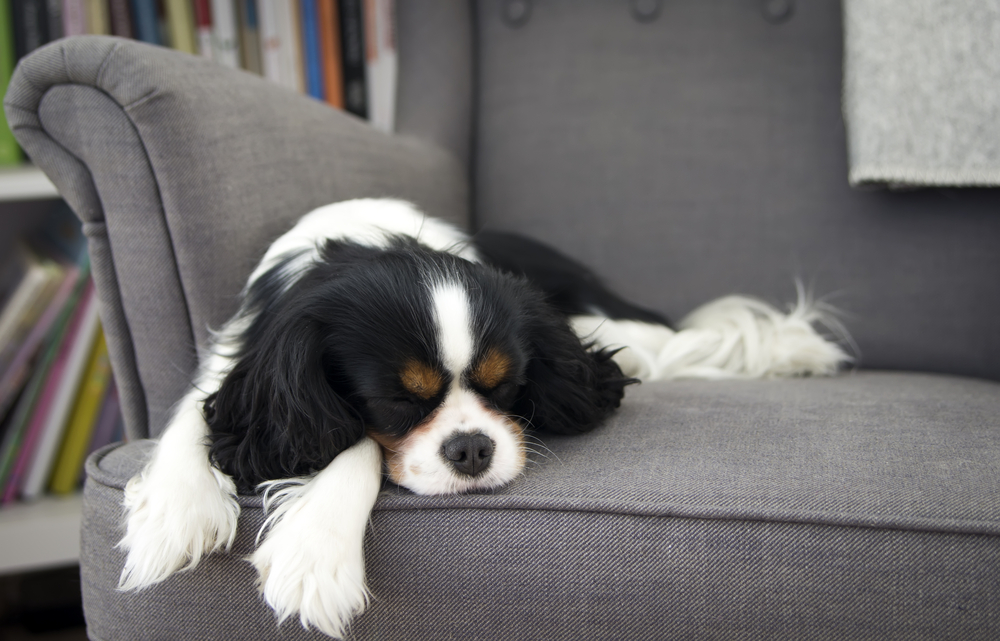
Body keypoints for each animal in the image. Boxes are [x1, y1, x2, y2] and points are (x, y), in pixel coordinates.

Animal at [119, 199, 852, 636]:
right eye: (398, 401)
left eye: (508, 388)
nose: (472, 448)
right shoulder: (243, 363)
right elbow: (195, 415)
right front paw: (177, 509)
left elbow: (357, 449)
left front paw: (317, 552)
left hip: (613, 321)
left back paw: (796, 351)